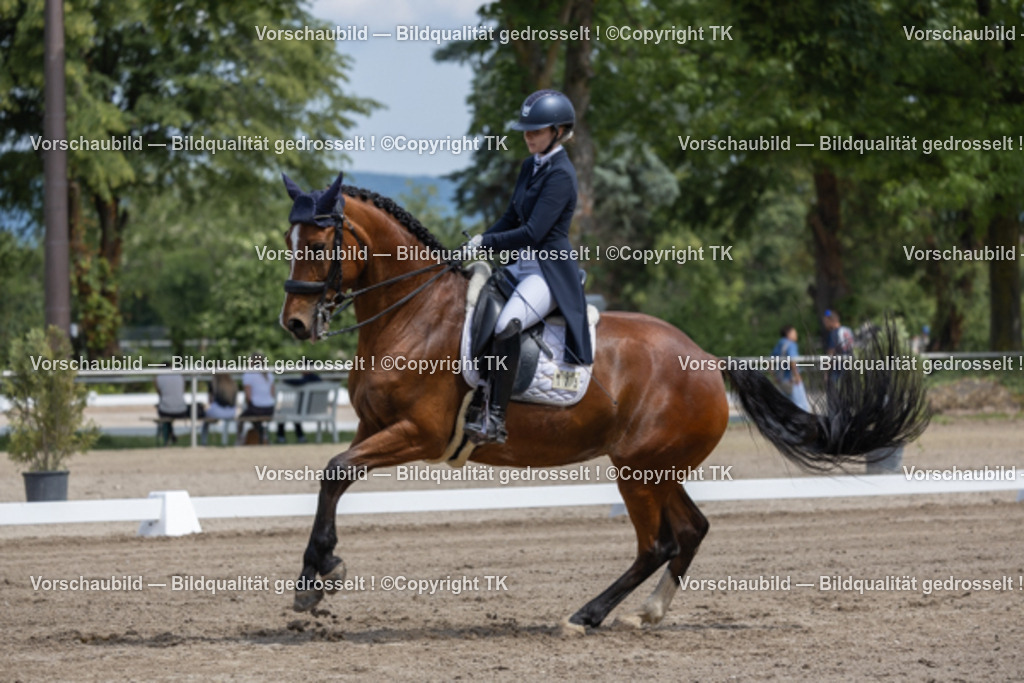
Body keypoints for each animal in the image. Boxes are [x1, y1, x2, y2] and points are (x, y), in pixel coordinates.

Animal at [278, 172, 929, 630]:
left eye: (320, 242)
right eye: (289, 240)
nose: (295, 324)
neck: (412, 312)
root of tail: (706, 360)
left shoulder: (421, 433)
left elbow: (334, 473)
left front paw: (317, 575)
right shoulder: (372, 425)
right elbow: (332, 476)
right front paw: (320, 573)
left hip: (639, 468)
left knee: (659, 542)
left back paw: (585, 615)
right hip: (655, 467)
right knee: (691, 529)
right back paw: (650, 613)